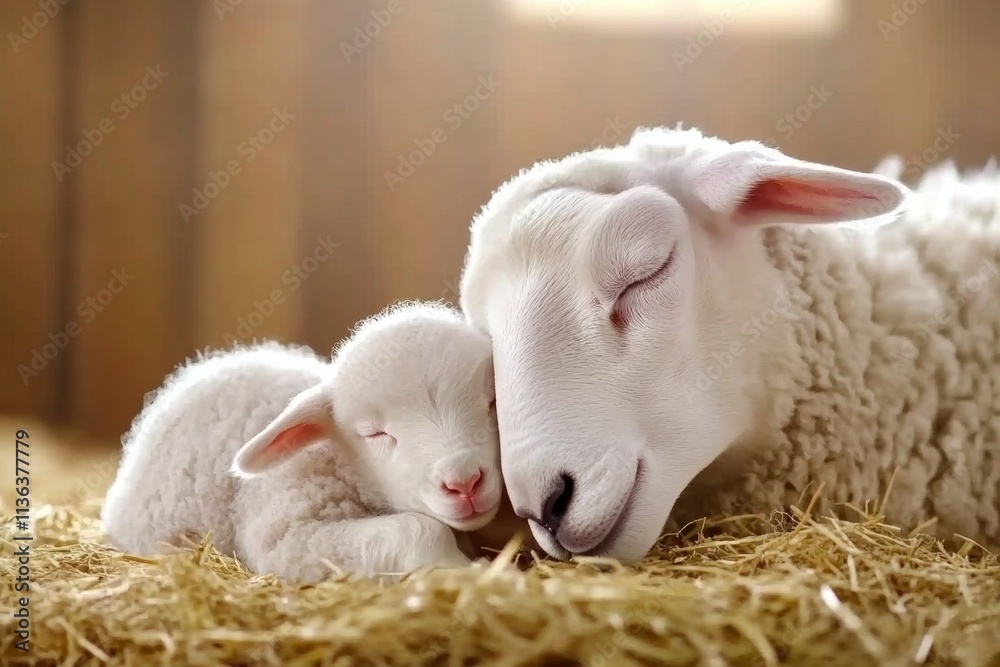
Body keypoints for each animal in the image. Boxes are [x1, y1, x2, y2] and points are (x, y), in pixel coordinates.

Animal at [100, 300, 529, 582]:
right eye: (373, 432)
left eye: (493, 404)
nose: (464, 482)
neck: (336, 459)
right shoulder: (287, 536)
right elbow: (417, 529)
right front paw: (472, 571)